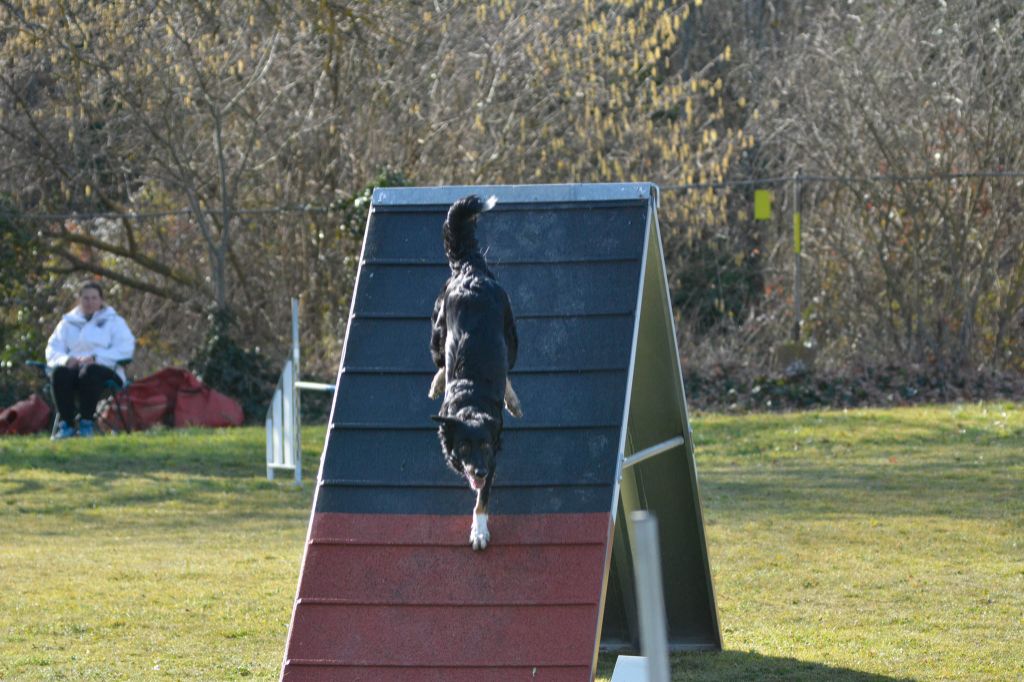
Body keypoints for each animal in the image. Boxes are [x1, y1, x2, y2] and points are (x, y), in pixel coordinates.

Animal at [425, 191, 520, 548]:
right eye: (465, 446)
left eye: (484, 446)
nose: (477, 472)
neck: (470, 403)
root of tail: (470, 271)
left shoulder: (493, 454)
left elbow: (482, 498)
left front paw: (479, 531)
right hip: (437, 332)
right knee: (440, 361)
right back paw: (438, 381)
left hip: (511, 334)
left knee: (509, 367)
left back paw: (513, 399)